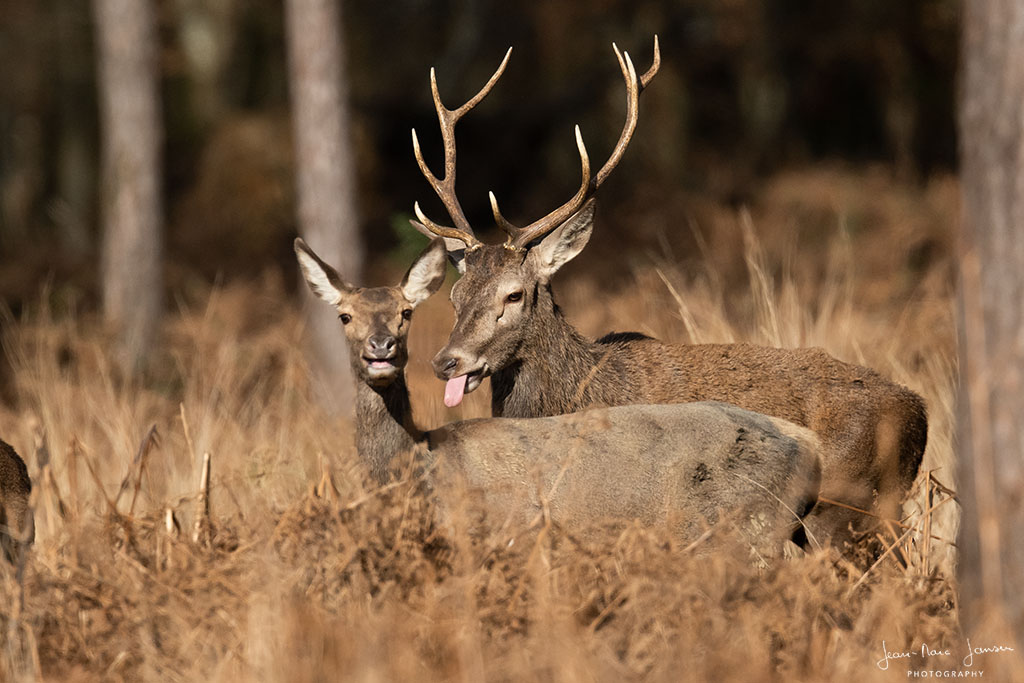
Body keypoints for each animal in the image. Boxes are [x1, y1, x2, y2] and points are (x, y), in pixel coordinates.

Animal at [292, 237, 819, 557]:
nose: (380, 348)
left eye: (406, 313)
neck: (420, 463)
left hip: (746, 529)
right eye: (344, 316)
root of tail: (807, 447)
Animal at [407, 38, 929, 548]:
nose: (446, 361)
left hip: (845, 509)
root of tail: (919, 414)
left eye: (513, 295)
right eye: (454, 296)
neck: (576, 393)